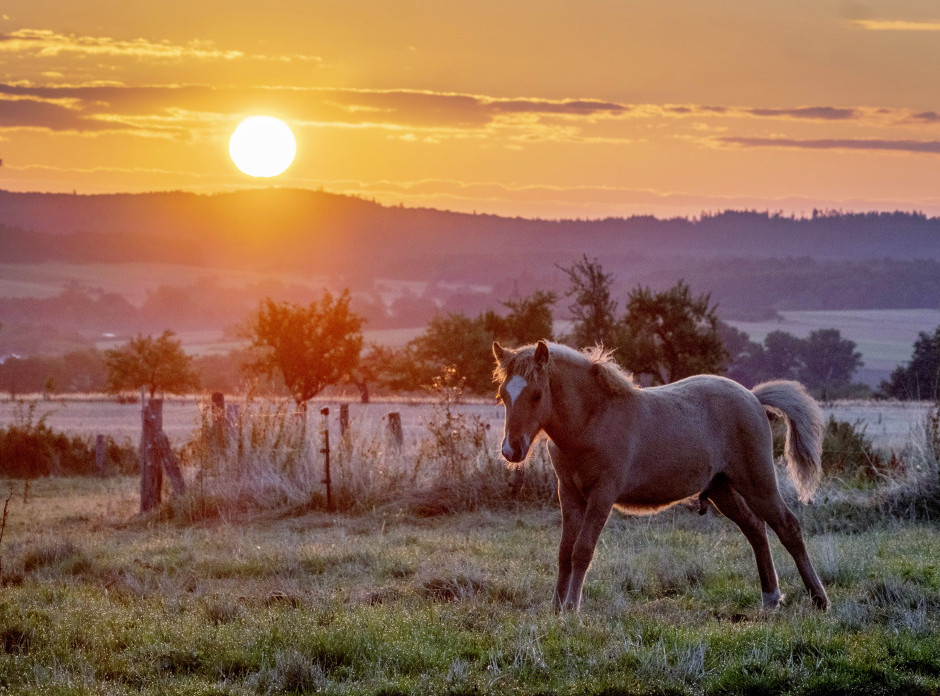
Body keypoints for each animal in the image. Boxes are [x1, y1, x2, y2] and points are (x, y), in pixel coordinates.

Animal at [492, 340, 828, 612]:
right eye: (503, 395)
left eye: (537, 395)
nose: (511, 450)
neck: (592, 420)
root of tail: (753, 397)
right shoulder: (570, 494)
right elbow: (564, 551)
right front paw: (557, 607)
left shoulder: (602, 494)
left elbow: (582, 550)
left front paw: (572, 608)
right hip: (721, 489)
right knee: (756, 529)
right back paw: (771, 598)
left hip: (757, 481)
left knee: (787, 527)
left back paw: (819, 599)